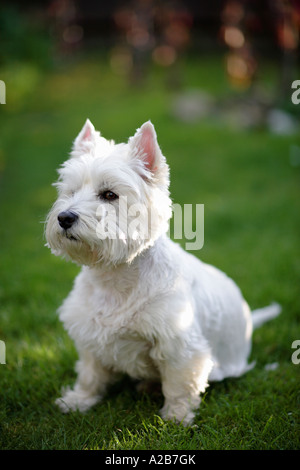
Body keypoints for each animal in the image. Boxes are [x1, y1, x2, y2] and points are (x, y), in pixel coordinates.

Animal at [45, 118, 282, 426]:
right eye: (71, 192)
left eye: (109, 195)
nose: (64, 218)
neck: (115, 278)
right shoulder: (89, 333)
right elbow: (90, 373)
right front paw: (77, 401)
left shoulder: (179, 343)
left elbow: (179, 384)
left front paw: (175, 418)